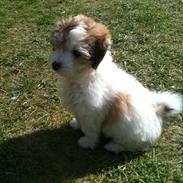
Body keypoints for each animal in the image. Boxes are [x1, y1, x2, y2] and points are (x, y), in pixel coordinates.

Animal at [49, 14, 183, 153]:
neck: (84, 75)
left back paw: (113, 146)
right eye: (57, 46)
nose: (55, 65)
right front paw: (76, 124)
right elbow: (80, 119)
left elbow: (90, 129)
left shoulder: (91, 112)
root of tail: (157, 113)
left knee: (130, 145)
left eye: (76, 53)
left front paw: (87, 142)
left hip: (131, 136)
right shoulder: (79, 108)